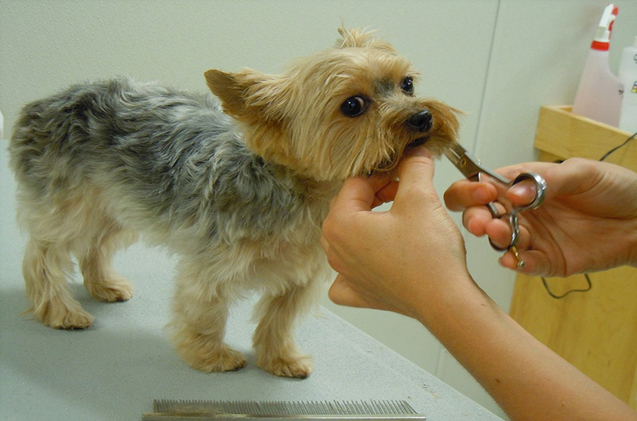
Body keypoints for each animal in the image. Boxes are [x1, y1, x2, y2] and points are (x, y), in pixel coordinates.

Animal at [9, 27, 458, 378]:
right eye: (353, 105)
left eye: (407, 84)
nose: (421, 117)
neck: (303, 194)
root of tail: (44, 103)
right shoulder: (212, 265)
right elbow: (205, 310)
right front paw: (211, 356)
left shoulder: (302, 275)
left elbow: (280, 317)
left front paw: (279, 359)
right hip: (72, 201)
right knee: (43, 254)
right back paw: (59, 310)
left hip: (118, 200)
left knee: (97, 243)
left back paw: (102, 285)